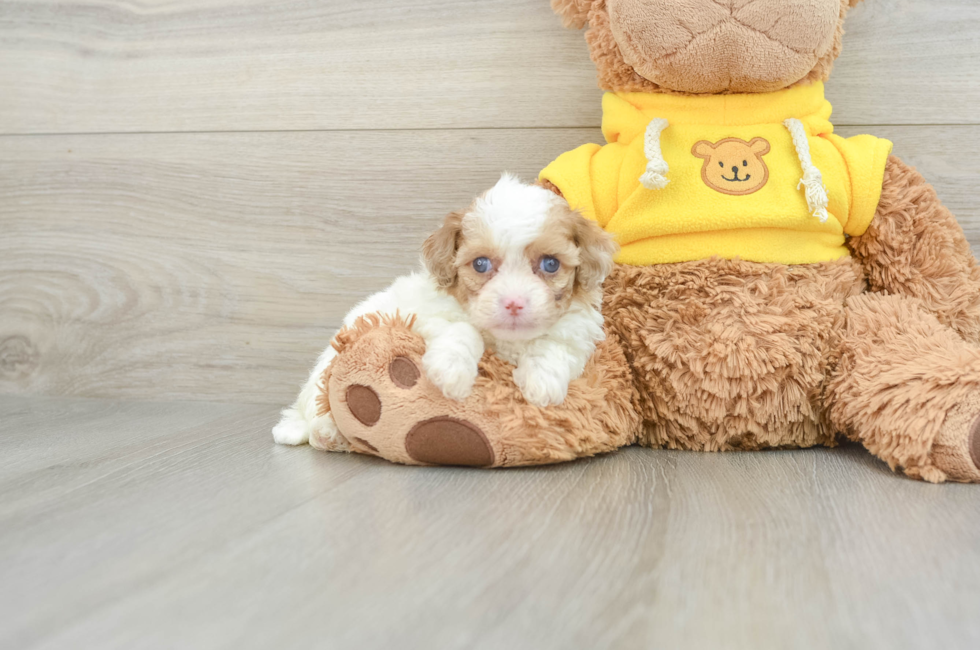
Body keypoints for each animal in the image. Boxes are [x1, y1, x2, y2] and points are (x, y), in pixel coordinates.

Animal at [272, 172, 616, 446]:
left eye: (550, 264)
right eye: (481, 264)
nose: (514, 302)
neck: (506, 343)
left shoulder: (579, 332)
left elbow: (554, 345)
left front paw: (542, 383)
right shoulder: (422, 313)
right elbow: (462, 329)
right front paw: (452, 371)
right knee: (317, 410)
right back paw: (327, 432)